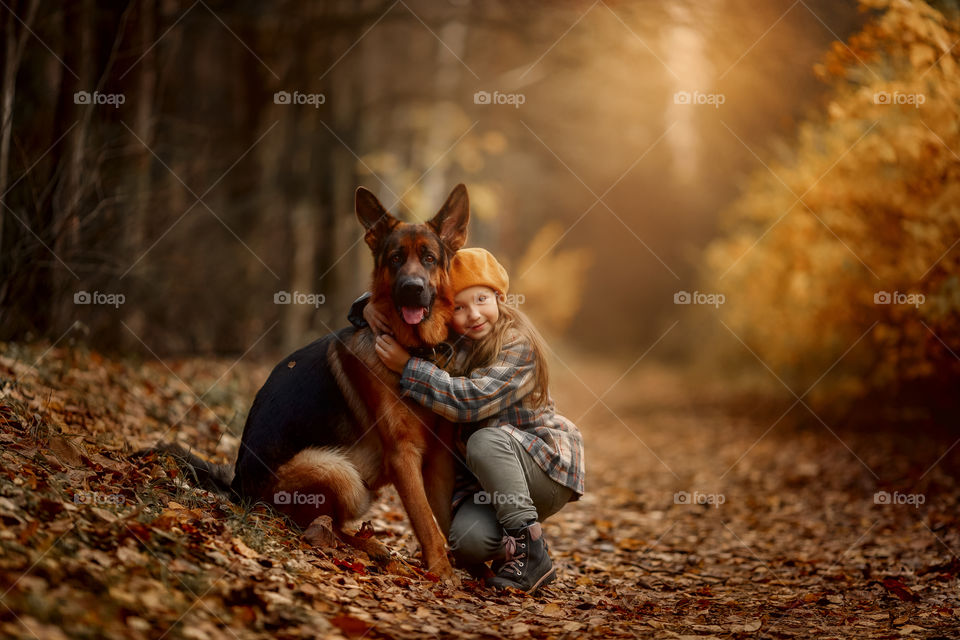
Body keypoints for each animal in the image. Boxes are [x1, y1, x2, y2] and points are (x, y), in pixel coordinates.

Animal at [147, 184, 472, 580]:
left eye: (428, 258)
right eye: (395, 259)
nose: (412, 288)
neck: (416, 356)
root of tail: (238, 487)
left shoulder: (439, 458)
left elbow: (446, 517)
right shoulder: (403, 455)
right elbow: (426, 520)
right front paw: (442, 573)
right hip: (339, 473)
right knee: (316, 522)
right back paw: (369, 546)